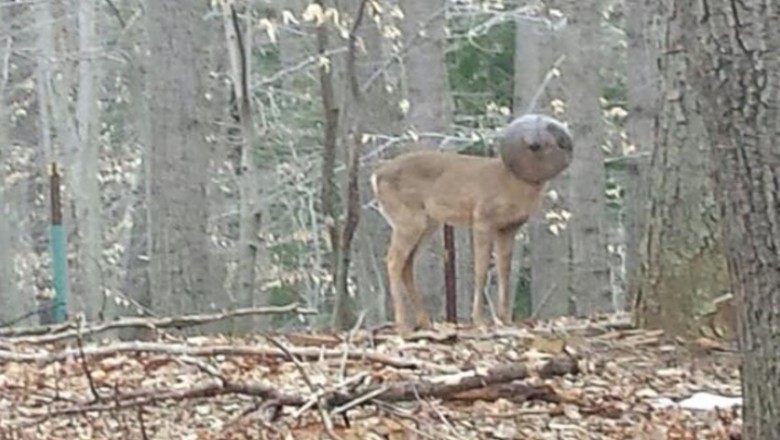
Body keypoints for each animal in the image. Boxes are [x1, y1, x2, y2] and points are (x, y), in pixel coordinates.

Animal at [372, 112, 572, 334]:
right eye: (536, 144)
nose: (534, 142)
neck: (512, 185)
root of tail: (376, 176)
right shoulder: (482, 219)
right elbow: (481, 268)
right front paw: (479, 320)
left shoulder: (508, 228)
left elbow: (504, 270)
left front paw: (505, 319)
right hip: (408, 220)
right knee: (393, 261)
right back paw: (403, 325)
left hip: (428, 224)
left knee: (407, 264)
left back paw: (425, 322)